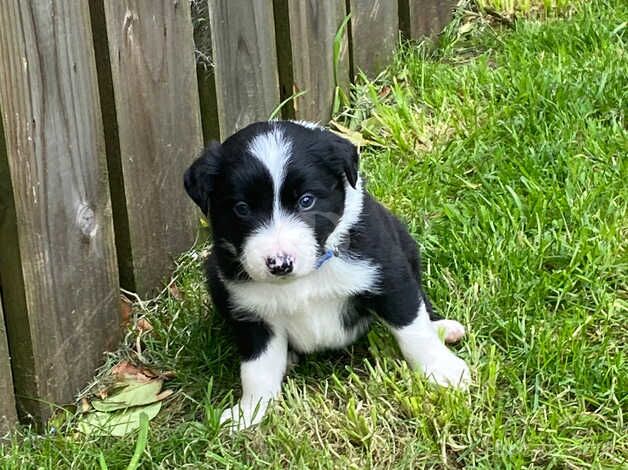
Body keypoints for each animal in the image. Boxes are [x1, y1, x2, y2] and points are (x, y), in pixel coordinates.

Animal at [184, 120, 468, 430]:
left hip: (405, 243)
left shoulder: (388, 274)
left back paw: (444, 328)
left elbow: (413, 329)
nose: (280, 263)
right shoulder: (251, 313)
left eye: (306, 201)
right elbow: (256, 369)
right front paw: (249, 412)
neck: (306, 277)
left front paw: (443, 371)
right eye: (242, 208)